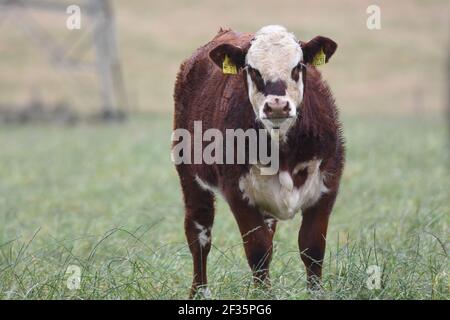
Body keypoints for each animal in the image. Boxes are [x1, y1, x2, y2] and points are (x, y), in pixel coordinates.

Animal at [172, 25, 344, 298]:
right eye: (252, 70)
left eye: (298, 66)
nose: (277, 106)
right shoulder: (238, 192)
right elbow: (258, 250)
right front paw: (263, 294)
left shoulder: (327, 185)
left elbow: (312, 248)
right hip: (190, 176)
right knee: (199, 234)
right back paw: (199, 292)